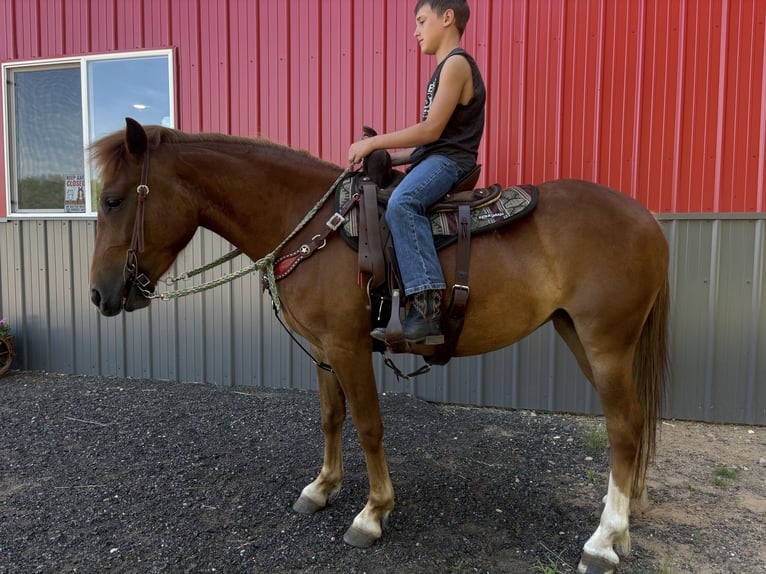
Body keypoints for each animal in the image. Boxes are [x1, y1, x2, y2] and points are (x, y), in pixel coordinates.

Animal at [89, 118, 669, 574]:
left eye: (113, 200)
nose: (99, 294)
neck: (309, 223)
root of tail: (649, 221)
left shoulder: (348, 348)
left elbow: (368, 426)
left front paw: (372, 513)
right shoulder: (322, 350)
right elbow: (331, 418)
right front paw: (321, 488)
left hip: (606, 344)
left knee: (624, 429)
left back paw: (601, 543)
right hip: (577, 333)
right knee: (632, 427)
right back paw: (617, 528)